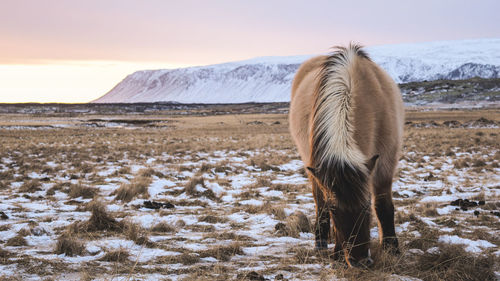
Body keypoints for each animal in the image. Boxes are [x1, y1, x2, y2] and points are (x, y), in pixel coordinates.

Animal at [290, 44, 402, 266]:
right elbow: (325, 205)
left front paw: (391, 247)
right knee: (319, 203)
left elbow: (383, 205)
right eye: (335, 210)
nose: (359, 261)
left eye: (366, 206)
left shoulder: (386, 160)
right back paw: (321, 243)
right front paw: (338, 253)